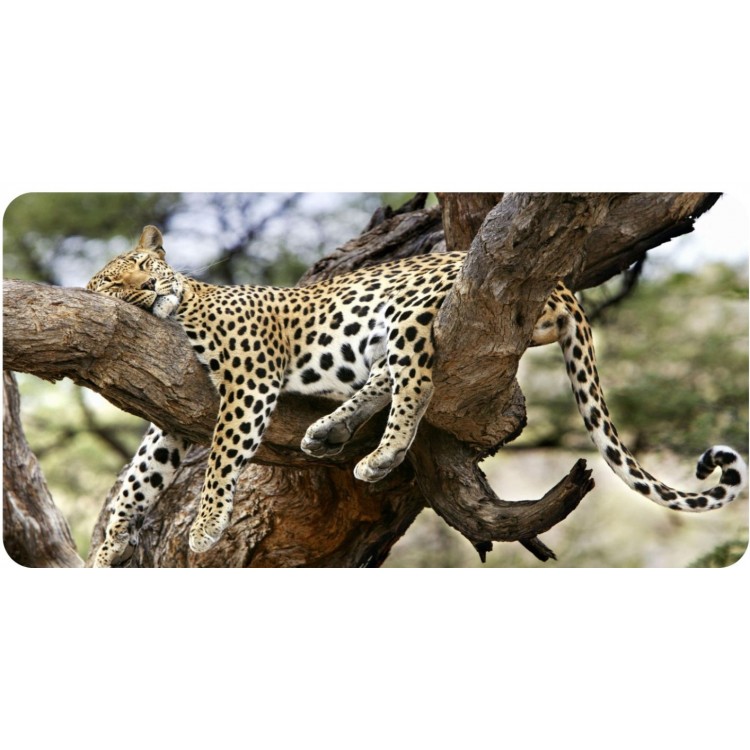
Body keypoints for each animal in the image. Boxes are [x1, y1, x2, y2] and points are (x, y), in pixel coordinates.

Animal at [86, 225, 747, 567]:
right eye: (114, 282)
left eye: (145, 265)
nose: (148, 287)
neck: (183, 307)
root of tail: (561, 284)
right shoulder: (169, 415)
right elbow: (139, 476)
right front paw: (110, 543)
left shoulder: (249, 380)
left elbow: (222, 457)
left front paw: (203, 529)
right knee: (388, 376)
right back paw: (329, 431)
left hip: (408, 309)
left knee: (418, 380)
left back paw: (380, 455)